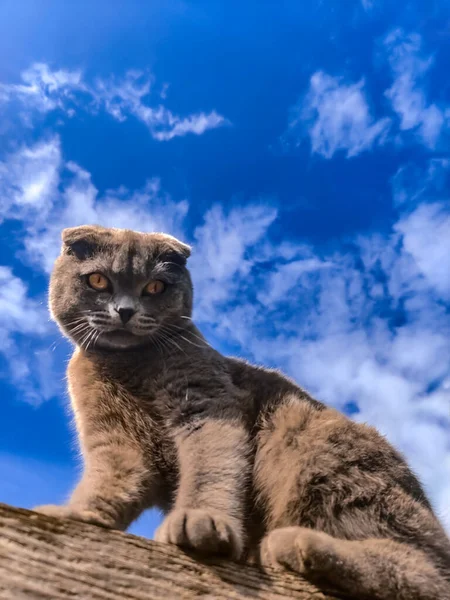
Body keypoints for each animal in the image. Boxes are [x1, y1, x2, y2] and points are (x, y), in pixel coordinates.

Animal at [35, 225, 450, 600]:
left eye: (155, 287)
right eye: (98, 280)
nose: (125, 310)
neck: (128, 366)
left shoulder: (207, 407)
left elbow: (209, 468)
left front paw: (199, 522)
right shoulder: (116, 441)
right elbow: (110, 482)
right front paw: (73, 513)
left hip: (316, 452)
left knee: (427, 570)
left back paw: (295, 544)